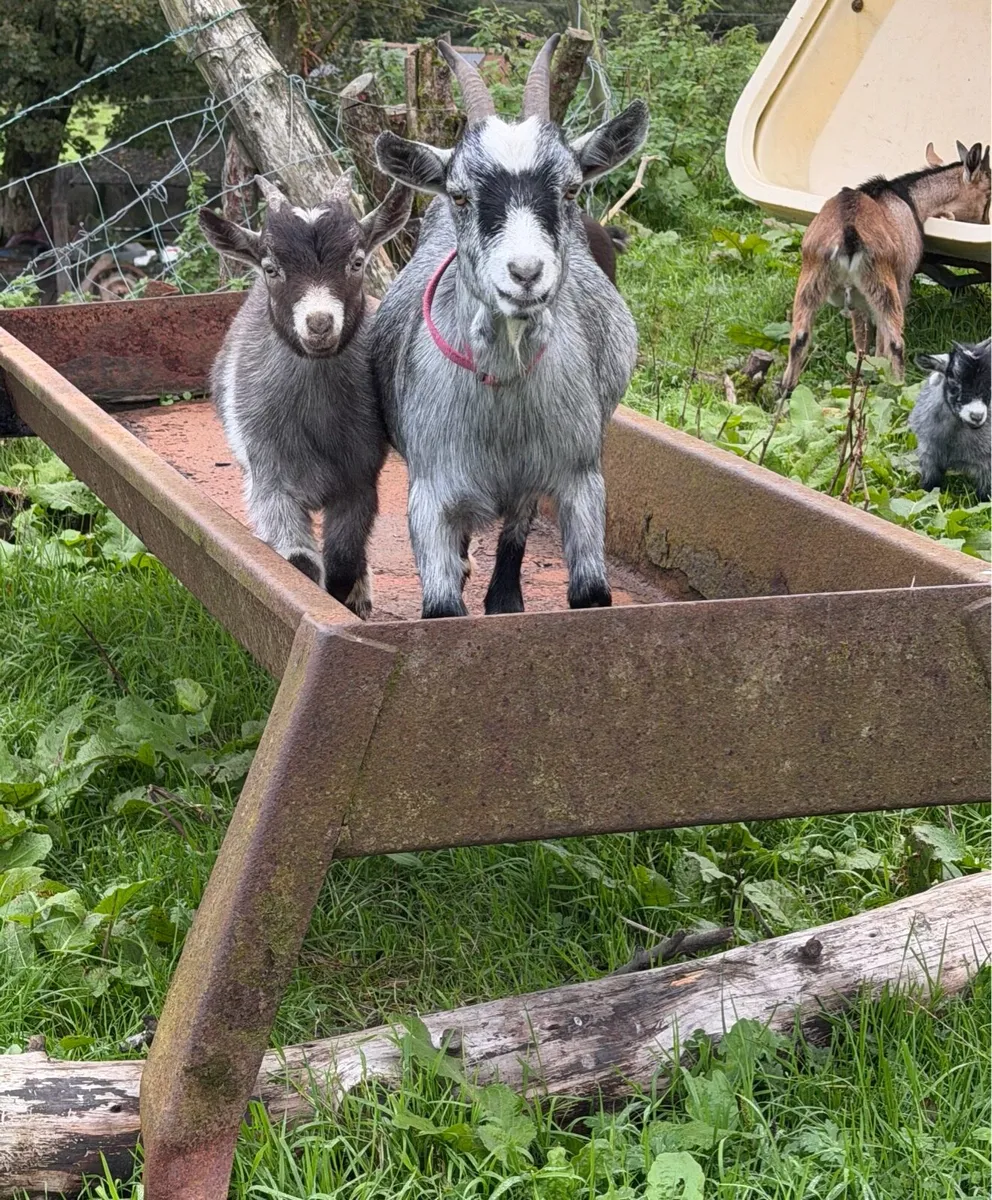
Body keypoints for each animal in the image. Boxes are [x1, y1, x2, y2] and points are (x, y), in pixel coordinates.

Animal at [198, 171, 412, 618]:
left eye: (357, 261)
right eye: (272, 268)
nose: (319, 323)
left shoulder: (358, 482)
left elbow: (344, 561)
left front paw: (352, 597)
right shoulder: (269, 481)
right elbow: (301, 564)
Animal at [369, 36, 648, 619]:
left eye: (570, 190)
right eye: (460, 194)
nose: (524, 272)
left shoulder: (579, 476)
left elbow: (591, 593)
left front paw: (507, 603)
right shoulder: (430, 487)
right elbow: (442, 608)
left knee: (516, 518)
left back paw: (503, 595)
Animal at [780, 141, 991, 395]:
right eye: (988, 192)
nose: (985, 221)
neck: (909, 198)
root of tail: (848, 232)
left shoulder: (859, 300)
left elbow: (862, 340)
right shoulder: (901, 282)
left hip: (812, 277)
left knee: (799, 337)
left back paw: (785, 391)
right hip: (882, 285)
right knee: (895, 342)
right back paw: (899, 387)